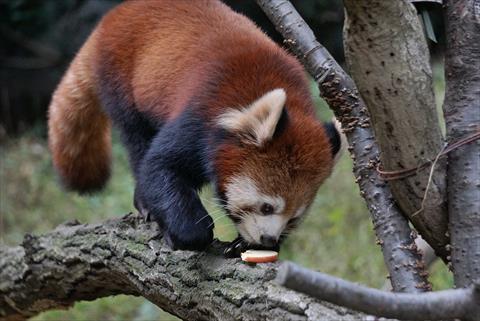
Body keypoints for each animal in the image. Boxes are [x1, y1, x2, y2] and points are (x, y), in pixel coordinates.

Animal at [47, 0, 342, 255]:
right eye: (267, 207)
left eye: (293, 219)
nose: (268, 239)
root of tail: (118, 13)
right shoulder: (200, 118)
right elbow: (158, 166)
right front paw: (187, 232)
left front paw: (245, 244)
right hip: (123, 80)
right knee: (137, 142)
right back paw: (145, 204)